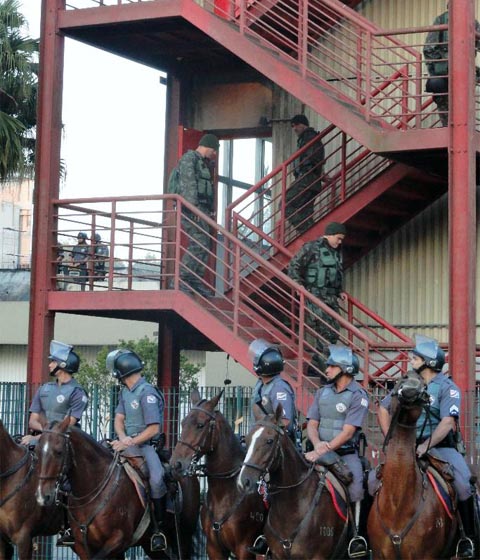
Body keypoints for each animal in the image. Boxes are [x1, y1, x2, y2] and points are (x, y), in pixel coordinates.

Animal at [34, 418, 199, 560]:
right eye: (36, 451)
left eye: (59, 452)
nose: (43, 496)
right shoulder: (82, 545)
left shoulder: (118, 540)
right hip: (149, 544)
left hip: (183, 537)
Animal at [171, 390, 266, 560]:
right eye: (182, 423)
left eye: (200, 425)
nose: (176, 463)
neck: (225, 492)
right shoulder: (214, 548)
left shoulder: (244, 549)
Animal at [368, 374, 458, 556]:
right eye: (401, 380)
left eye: (424, 386)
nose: (410, 389)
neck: (397, 504)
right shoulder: (380, 554)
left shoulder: (426, 555)